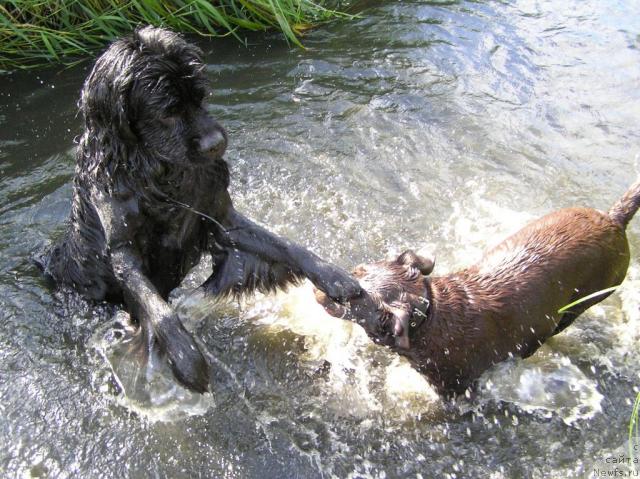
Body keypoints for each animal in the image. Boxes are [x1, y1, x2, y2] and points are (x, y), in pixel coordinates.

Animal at [38, 26, 360, 394]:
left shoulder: (220, 218)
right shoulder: (122, 249)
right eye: (167, 111)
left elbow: (285, 245)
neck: (157, 172)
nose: (216, 144)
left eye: (201, 98)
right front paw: (186, 358)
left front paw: (334, 276)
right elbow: (157, 306)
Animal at [316, 178, 640, 396]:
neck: (432, 317)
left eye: (349, 297)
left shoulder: (454, 386)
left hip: (586, 300)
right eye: (357, 270)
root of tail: (614, 219)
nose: (320, 284)